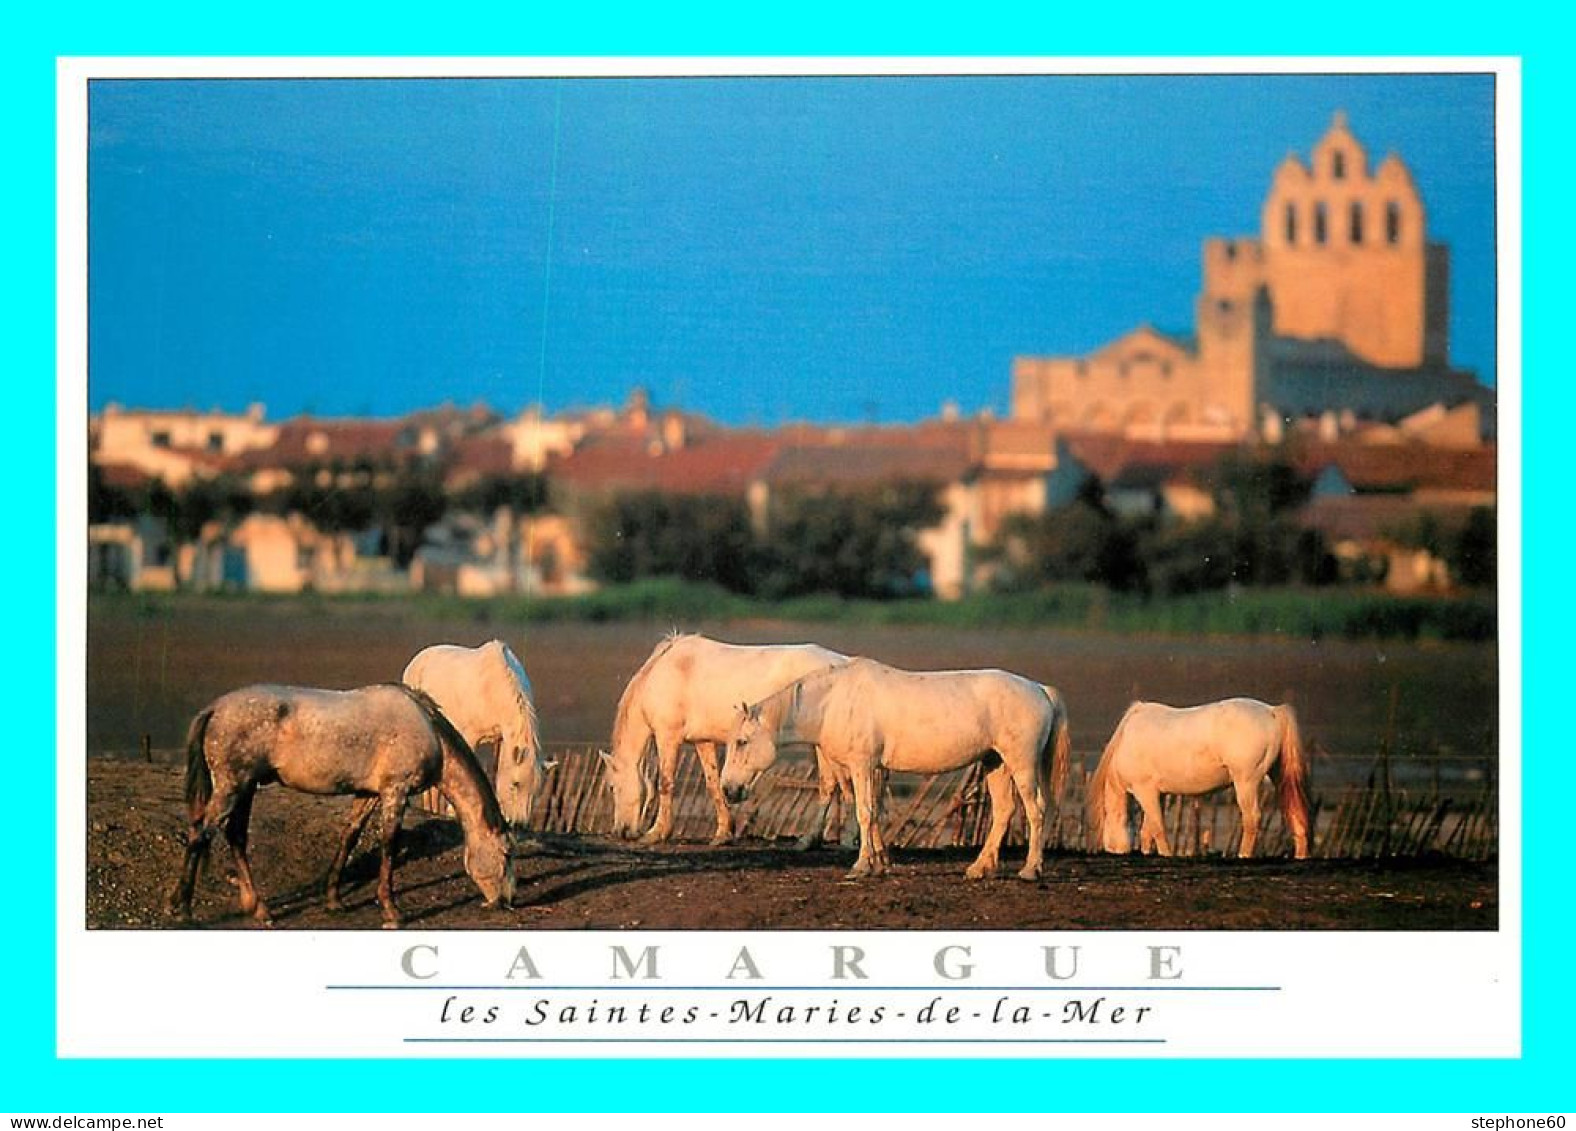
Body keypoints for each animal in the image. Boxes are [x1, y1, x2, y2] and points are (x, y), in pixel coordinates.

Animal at [165, 683, 513, 932]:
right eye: (507, 854)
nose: (507, 902)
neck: (429, 731)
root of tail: (214, 709)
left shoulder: (368, 794)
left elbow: (349, 837)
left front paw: (333, 900)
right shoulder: (395, 792)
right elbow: (389, 845)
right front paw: (392, 910)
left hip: (246, 787)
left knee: (235, 836)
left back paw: (258, 907)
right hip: (232, 787)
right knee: (200, 835)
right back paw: (182, 908)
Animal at [403, 642, 551, 825]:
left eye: (536, 790)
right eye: (515, 784)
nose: (519, 824)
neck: (492, 687)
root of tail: (418, 659)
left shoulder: (500, 739)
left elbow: (495, 771)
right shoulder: (470, 737)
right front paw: (453, 811)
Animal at [602, 633, 851, 844]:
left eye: (613, 787)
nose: (620, 831)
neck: (663, 673)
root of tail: (841, 662)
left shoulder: (667, 737)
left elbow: (665, 783)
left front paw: (657, 832)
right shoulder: (703, 742)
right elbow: (713, 784)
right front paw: (723, 832)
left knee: (829, 784)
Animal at [721, 655, 1071, 888]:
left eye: (741, 742)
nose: (728, 789)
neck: (833, 701)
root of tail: (1040, 689)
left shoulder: (862, 765)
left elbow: (864, 813)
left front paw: (862, 865)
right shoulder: (872, 768)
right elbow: (874, 813)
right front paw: (880, 864)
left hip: (1021, 763)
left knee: (1036, 811)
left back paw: (1030, 870)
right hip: (994, 763)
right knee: (1003, 811)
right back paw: (979, 868)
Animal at [1084, 696, 1317, 863]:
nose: (1112, 850)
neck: (1126, 739)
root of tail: (1272, 711)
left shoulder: (1145, 791)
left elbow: (1157, 827)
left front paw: (1166, 855)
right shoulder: (1157, 794)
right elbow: (1147, 830)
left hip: (1246, 782)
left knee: (1252, 818)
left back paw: (1243, 855)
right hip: (1278, 777)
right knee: (1295, 813)